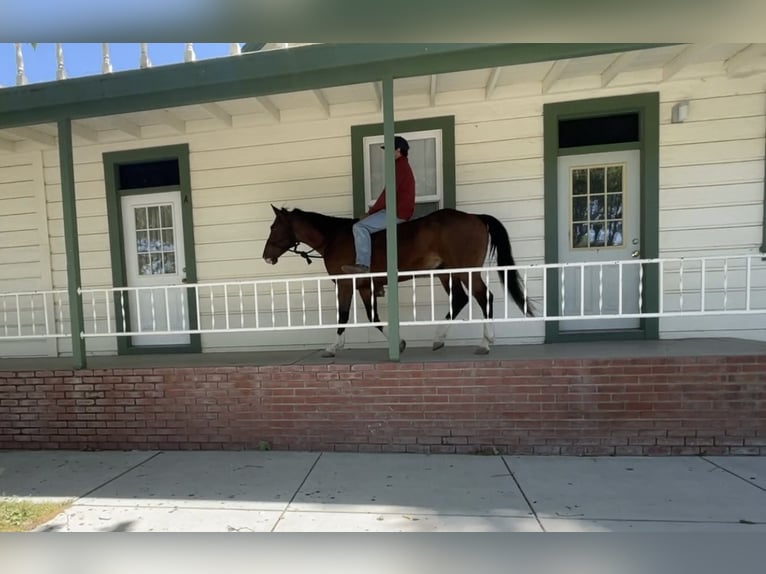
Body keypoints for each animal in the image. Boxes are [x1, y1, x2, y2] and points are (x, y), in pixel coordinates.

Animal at [264, 207, 536, 358]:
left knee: (483, 297)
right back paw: (439, 338)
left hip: (465, 271)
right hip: (446, 273)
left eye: (274, 227)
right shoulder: (365, 287)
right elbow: (373, 317)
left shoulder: (346, 284)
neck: (334, 237)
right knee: (460, 299)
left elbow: (343, 315)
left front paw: (332, 347)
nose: (266, 256)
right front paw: (400, 342)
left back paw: (485, 343)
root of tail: (475, 216)